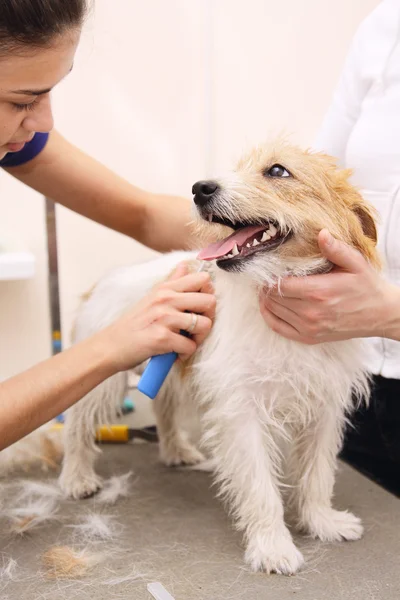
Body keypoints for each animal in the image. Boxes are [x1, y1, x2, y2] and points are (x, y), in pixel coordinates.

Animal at [58, 142, 378, 576]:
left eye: (278, 171)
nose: (200, 188)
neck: (274, 289)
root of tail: (104, 280)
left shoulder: (324, 409)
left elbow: (317, 475)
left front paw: (322, 522)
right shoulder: (242, 412)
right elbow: (260, 487)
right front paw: (272, 546)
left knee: (164, 408)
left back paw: (176, 451)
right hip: (104, 378)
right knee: (77, 425)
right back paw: (76, 477)